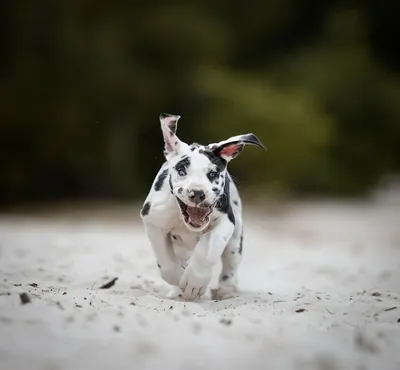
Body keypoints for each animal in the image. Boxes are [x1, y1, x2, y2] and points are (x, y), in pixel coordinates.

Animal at [141, 113, 266, 300]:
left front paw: (194, 282)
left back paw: (225, 290)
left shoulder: (225, 222)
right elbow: (167, 262)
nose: (197, 193)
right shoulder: (154, 221)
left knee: (230, 265)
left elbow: (207, 250)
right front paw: (179, 280)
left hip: (235, 241)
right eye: (182, 171)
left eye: (213, 174)